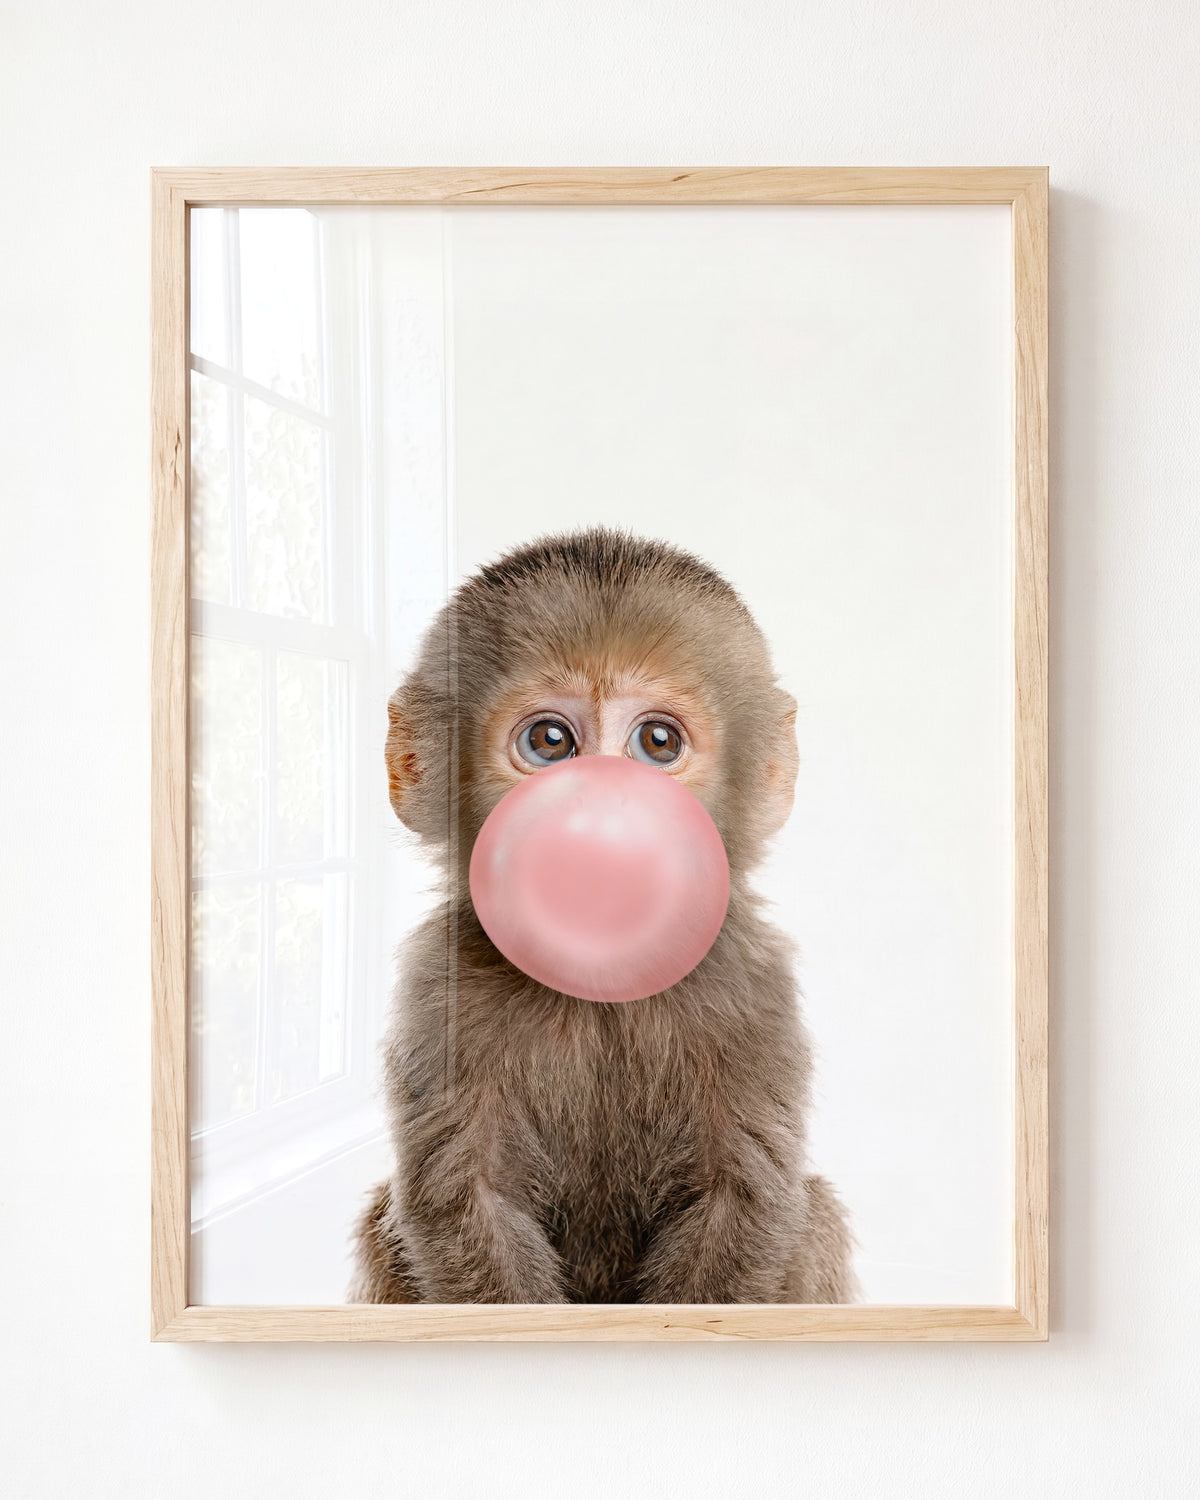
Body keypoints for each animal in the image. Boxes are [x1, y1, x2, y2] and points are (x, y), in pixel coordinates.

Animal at [349, 527, 855, 1304]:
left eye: (657, 743)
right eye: (550, 742)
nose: (602, 813)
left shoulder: (753, 984)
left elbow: (741, 1200)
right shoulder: (441, 985)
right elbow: (467, 1199)